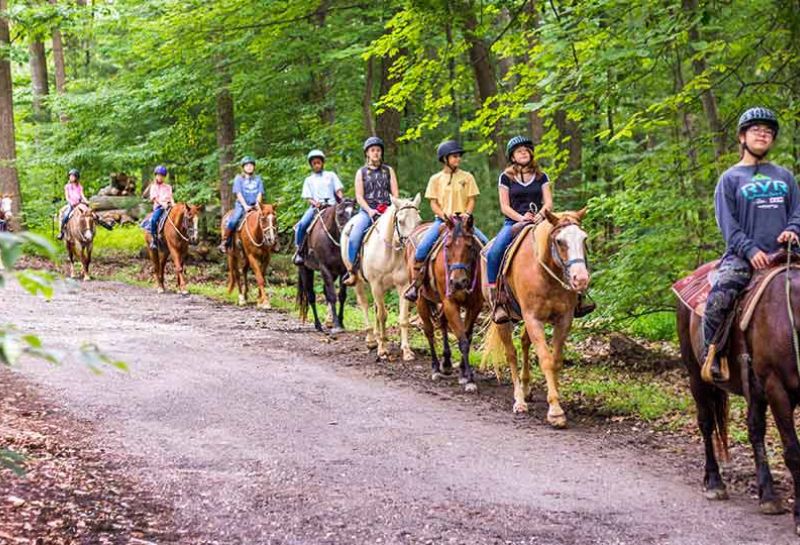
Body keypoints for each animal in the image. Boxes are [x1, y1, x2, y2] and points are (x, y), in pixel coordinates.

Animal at [296, 197, 354, 330]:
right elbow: (332, 295)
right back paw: (318, 325)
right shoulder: (324, 268)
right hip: (305, 269)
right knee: (311, 295)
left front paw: (340, 322)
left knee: (324, 291)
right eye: (340, 214)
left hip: (333, 273)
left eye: (354, 213)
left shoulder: (343, 271)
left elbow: (341, 296)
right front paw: (336, 324)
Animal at [340, 193, 422, 360]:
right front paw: (383, 349)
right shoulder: (376, 285)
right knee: (365, 305)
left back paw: (378, 337)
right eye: (400, 221)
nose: (413, 247)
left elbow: (403, 319)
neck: (390, 253)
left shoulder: (403, 286)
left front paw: (406, 351)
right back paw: (372, 340)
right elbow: (383, 315)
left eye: (419, 221)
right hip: (359, 282)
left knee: (376, 308)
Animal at [406, 212, 482, 392]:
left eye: (470, 246)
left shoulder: (475, 306)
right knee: (429, 331)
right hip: (421, 300)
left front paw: (463, 373)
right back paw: (435, 368)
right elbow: (462, 340)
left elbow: (467, 337)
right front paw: (469, 379)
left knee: (442, 322)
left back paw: (446, 363)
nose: (457, 282)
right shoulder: (450, 303)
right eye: (447, 247)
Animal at [478, 210, 592, 428]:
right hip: (503, 319)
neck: (545, 273)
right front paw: (555, 411)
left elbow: (556, 361)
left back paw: (526, 389)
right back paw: (519, 400)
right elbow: (546, 360)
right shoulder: (533, 319)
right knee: (511, 353)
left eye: (584, 238)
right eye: (559, 241)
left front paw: (556, 398)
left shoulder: (563, 320)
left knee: (524, 343)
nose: (581, 279)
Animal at [680, 256, 800, 536]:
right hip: (695, 375)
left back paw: (768, 495)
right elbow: (793, 452)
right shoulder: (777, 388)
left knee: (754, 430)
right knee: (706, 424)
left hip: (754, 390)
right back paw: (715, 483)